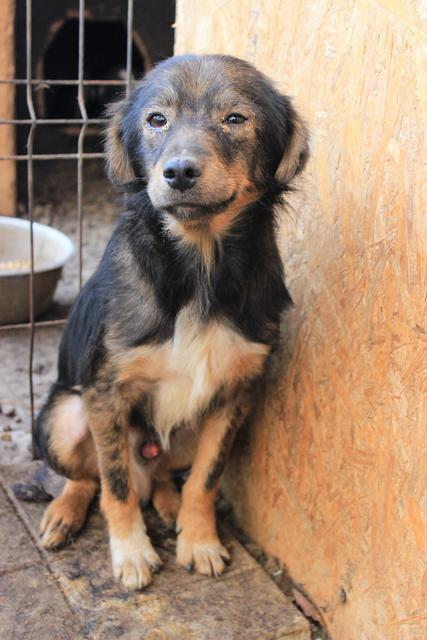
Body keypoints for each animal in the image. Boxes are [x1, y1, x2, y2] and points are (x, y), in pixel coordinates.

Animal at [33, 55, 308, 592]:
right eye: (156, 120)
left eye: (235, 119)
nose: (178, 171)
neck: (199, 265)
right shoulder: (105, 392)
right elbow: (115, 484)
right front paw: (131, 553)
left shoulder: (235, 394)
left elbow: (207, 478)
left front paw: (198, 540)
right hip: (61, 416)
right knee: (89, 476)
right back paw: (65, 513)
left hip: (181, 434)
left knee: (161, 474)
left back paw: (167, 503)